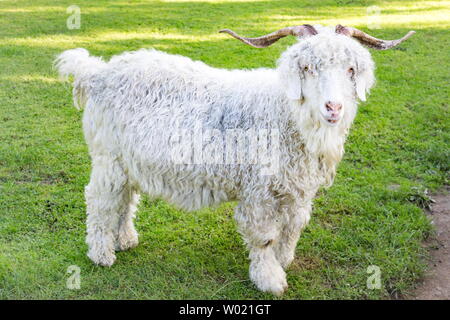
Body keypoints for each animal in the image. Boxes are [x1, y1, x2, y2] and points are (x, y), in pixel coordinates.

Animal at [55, 24, 414, 296]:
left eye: (350, 69)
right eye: (307, 68)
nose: (333, 107)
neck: (282, 112)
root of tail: (98, 73)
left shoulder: (298, 189)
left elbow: (294, 227)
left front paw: (283, 260)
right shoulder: (258, 191)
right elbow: (264, 237)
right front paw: (270, 279)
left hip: (129, 161)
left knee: (125, 198)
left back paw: (125, 239)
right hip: (108, 157)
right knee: (100, 199)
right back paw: (102, 253)